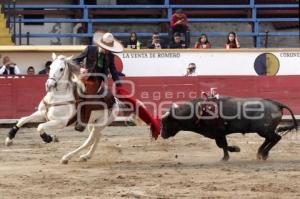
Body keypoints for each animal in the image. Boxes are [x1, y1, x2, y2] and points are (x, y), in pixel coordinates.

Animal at [161, 97, 296, 161]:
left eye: (166, 122)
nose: (162, 135)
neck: (198, 111)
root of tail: (277, 104)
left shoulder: (219, 132)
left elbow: (222, 145)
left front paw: (233, 151)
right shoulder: (219, 134)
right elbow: (222, 145)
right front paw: (230, 153)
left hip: (263, 130)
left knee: (275, 138)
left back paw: (263, 153)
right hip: (265, 130)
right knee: (270, 139)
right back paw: (261, 153)